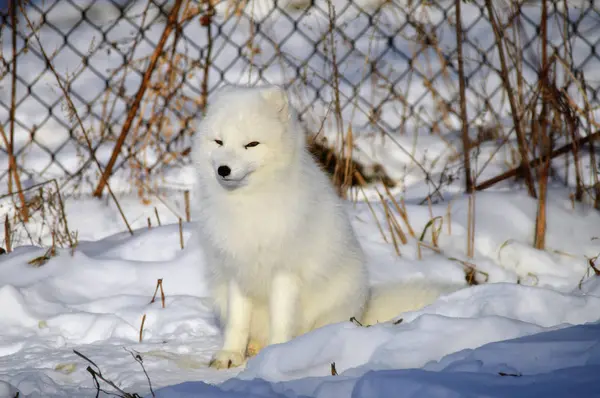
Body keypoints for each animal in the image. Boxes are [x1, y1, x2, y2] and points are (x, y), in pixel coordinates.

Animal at [192, 85, 460, 368]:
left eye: (251, 144)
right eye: (219, 142)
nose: (223, 170)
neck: (247, 206)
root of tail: (364, 307)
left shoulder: (285, 273)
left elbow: (282, 320)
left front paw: (276, 353)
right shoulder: (236, 270)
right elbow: (237, 321)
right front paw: (230, 354)